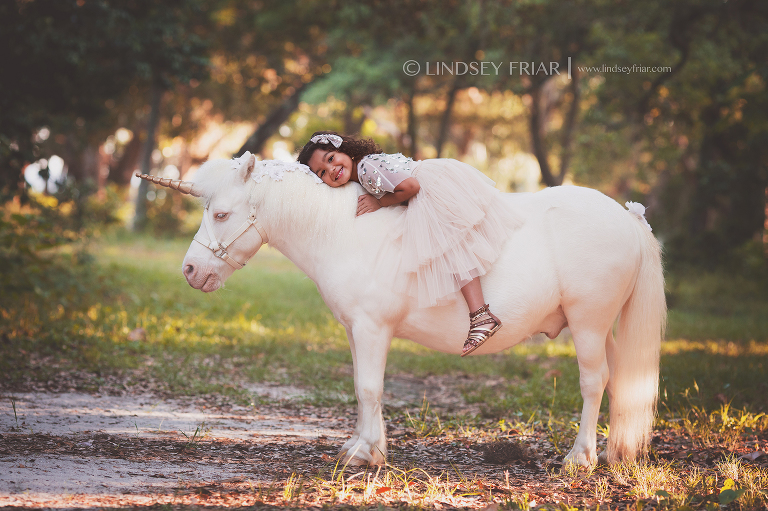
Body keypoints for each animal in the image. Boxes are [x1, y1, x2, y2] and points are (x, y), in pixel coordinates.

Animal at [138, 153, 664, 468]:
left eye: (221, 214)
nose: (190, 270)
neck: (344, 229)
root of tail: (628, 216)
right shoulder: (356, 331)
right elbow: (361, 388)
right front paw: (361, 446)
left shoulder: (373, 328)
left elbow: (370, 388)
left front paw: (367, 457)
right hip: (602, 329)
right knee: (620, 381)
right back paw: (615, 453)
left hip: (587, 324)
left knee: (593, 382)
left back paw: (581, 457)